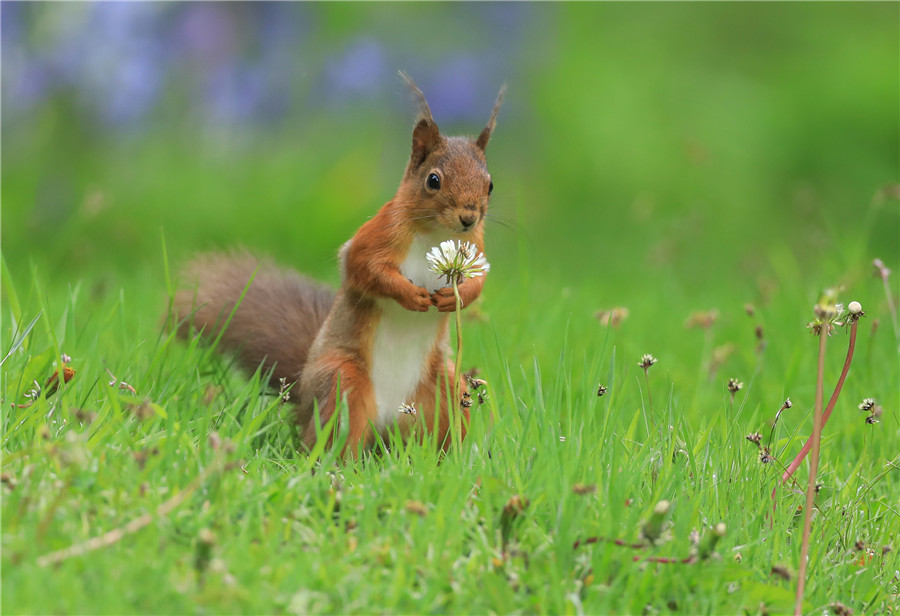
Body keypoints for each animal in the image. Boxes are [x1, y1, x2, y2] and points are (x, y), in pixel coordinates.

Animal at [172, 74, 502, 454]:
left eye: (490, 185)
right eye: (433, 180)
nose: (468, 217)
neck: (435, 232)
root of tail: (387, 423)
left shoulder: (475, 247)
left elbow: (480, 281)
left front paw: (456, 296)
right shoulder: (375, 236)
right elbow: (364, 268)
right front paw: (410, 295)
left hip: (445, 387)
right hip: (341, 382)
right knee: (334, 438)